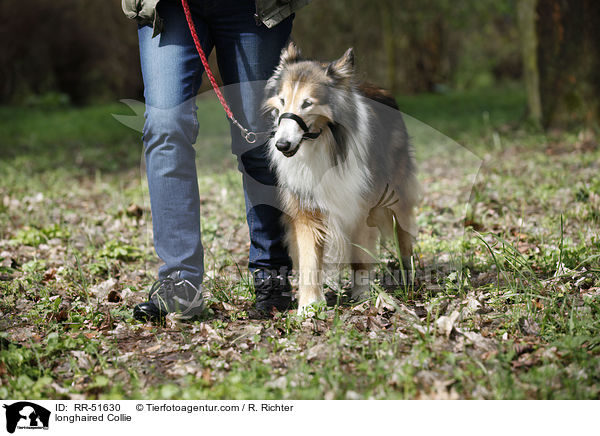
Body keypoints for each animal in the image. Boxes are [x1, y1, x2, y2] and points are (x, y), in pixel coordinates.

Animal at [262, 42, 422, 312]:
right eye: (282, 100)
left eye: (307, 103)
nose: (282, 145)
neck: (323, 141)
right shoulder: (306, 209)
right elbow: (309, 258)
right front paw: (308, 306)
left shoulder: (359, 205)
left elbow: (360, 257)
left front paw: (361, 295)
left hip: (397, 188)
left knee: (403, 232)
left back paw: (407, 274)